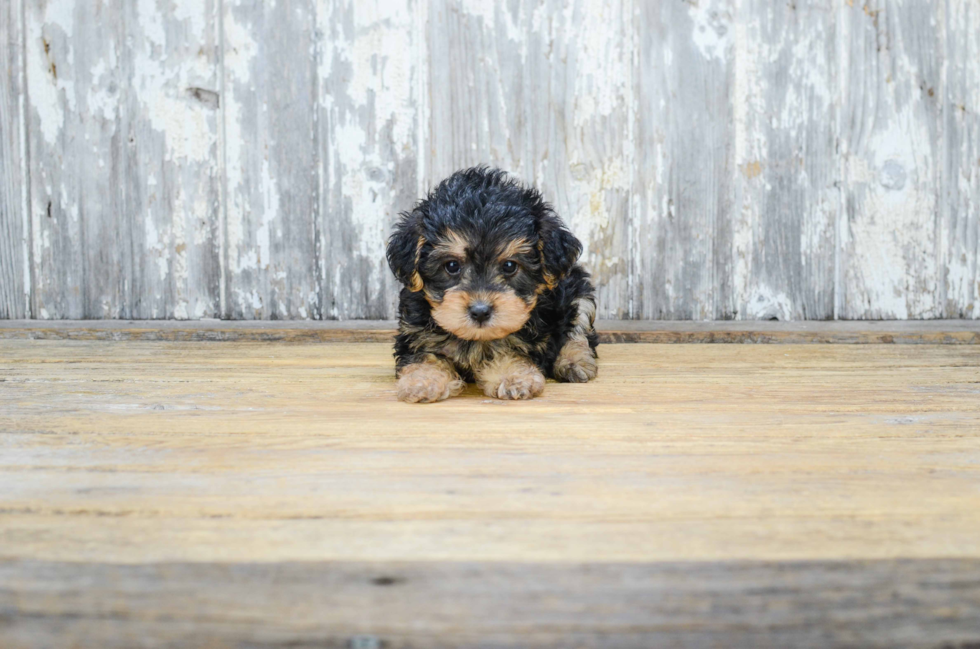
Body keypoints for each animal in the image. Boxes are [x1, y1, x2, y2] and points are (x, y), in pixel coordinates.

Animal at [382, 167, 596, 400]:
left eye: (510, 266)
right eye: (452, 266)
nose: (480, 311)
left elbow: (509, 348)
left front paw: (513, 376)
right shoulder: (415, 331)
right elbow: (423, 354)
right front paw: (423, 380)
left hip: (578, 290)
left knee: (578, 332)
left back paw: (574, 361)